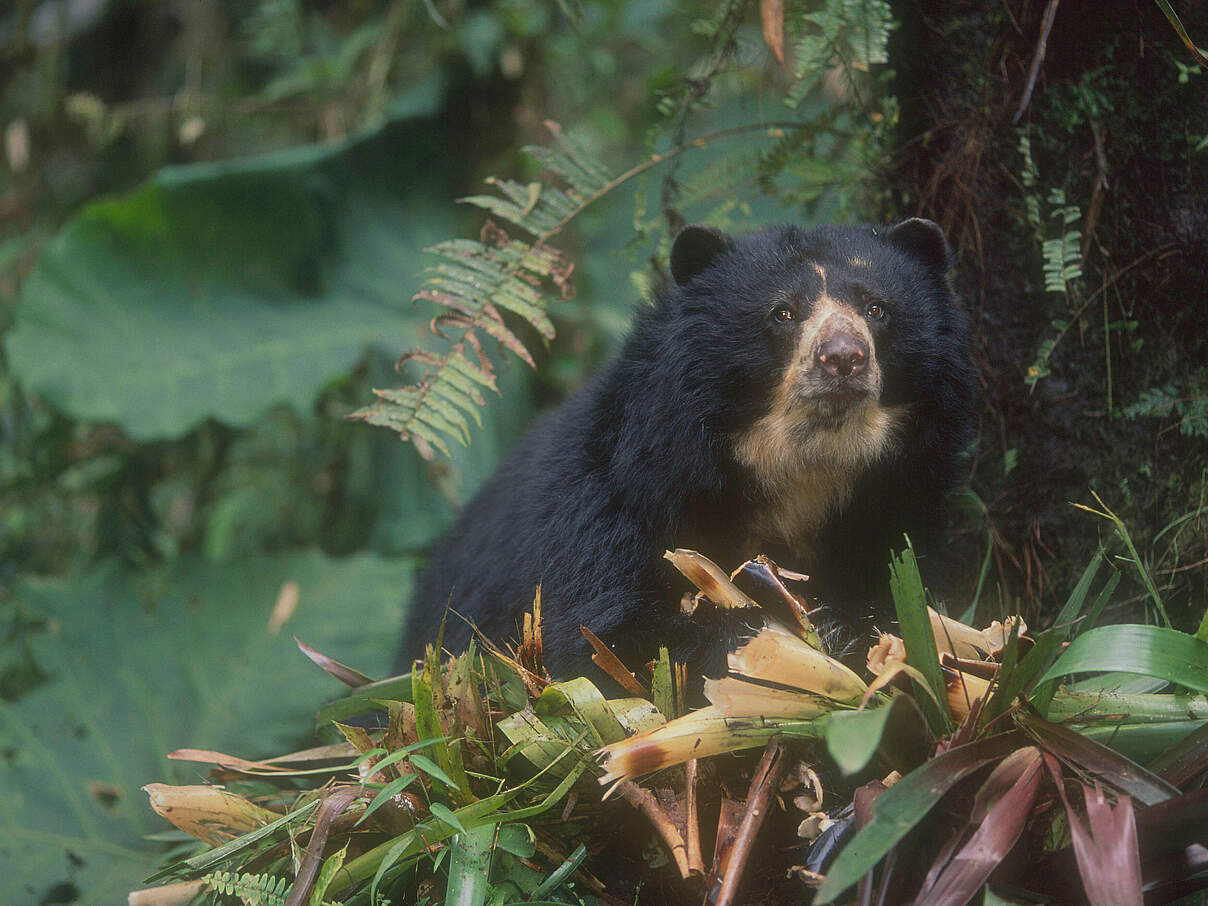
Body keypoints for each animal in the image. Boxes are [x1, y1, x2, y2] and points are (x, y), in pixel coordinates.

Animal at [401, 219, 976, 681]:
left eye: (877, 308)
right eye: (782, 313)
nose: (843, 358)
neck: (802, 468)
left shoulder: (896, 502)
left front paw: (853, 628)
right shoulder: (614, 505)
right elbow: (601, 641)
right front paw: (782, 640)